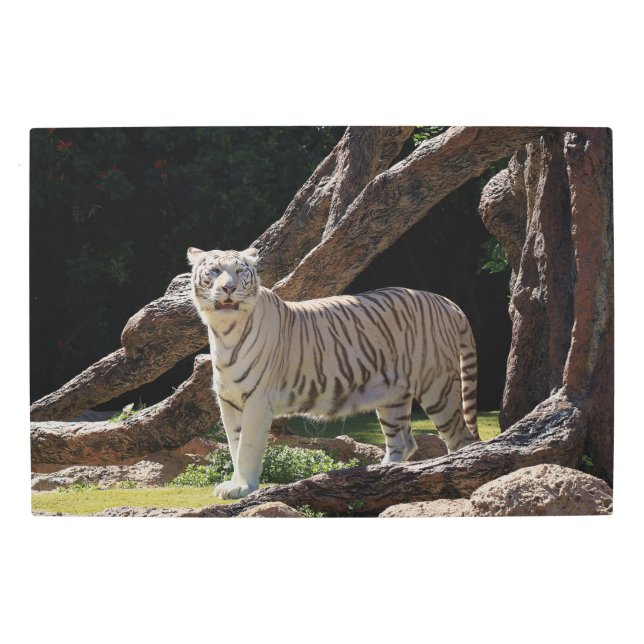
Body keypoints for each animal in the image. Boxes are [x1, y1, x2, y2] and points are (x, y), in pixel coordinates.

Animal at [188, 246, 479, 500]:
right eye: (214, 270)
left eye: (239, 271)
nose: (229, 288)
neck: (225, 332)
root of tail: (446, 302)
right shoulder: (229, 401)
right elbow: (234, 444)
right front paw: (234, 485)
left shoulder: (257, 400)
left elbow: (247, 446)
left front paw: (245, 488)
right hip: (392, 396)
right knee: (403, 442)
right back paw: (380, 475)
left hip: (438, 388)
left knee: (461, 440)